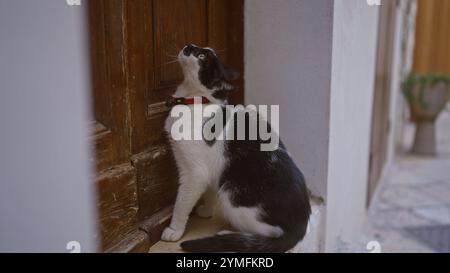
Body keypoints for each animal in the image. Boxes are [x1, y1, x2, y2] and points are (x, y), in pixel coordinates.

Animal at [163, 44, 312, 251]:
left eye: (201, 56)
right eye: (198, 49)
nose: (188, 46)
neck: (196, 101)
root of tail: (301, 225)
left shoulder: (194, 173)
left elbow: (181, 202)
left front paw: (174, 229)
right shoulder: (212, 168)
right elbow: (209, 190)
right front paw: (207, 210)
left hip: (231, 195)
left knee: (271, 234)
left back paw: (230, 235)